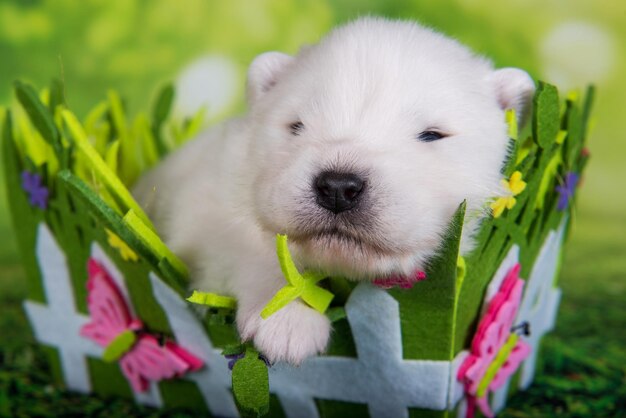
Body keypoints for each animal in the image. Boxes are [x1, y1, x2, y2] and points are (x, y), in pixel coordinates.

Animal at [134, 17, 532, 362]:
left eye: (432, 135)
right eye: (296, 126)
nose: (338, 187)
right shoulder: (205, 197)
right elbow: (243, 245)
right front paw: (287, 316)